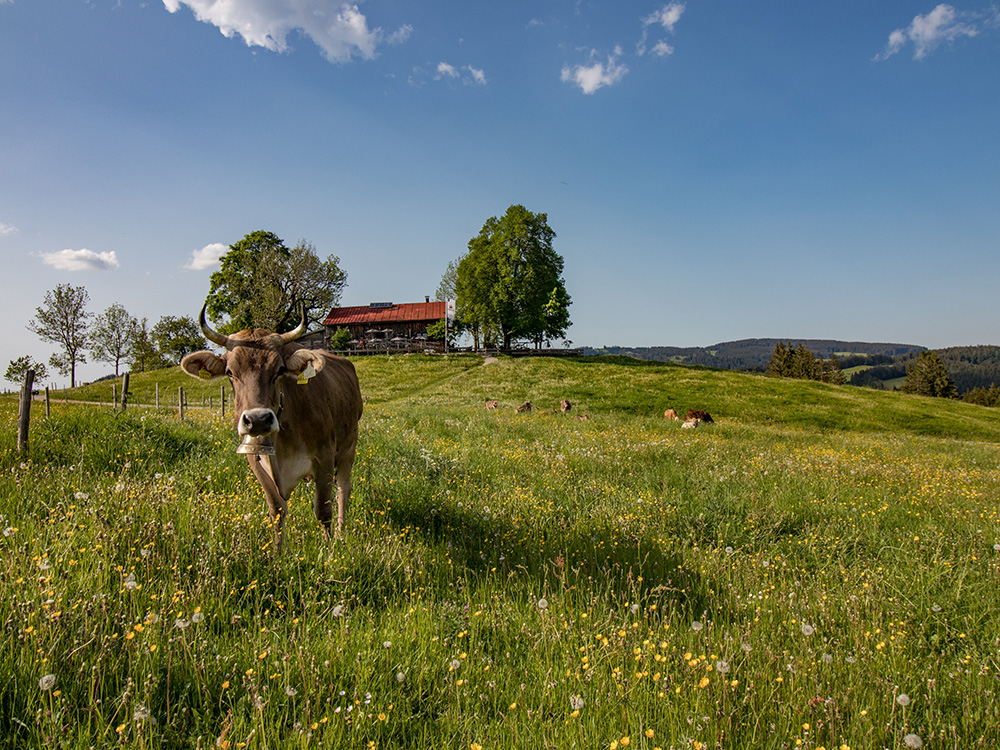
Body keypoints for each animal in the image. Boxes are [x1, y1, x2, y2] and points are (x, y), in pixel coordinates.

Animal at [181, 302, 364, 556]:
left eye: (279, 370)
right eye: (230, 372)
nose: (258, 419)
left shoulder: (324, 458)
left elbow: (323, 511)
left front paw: (328, 551)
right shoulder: (255, 460)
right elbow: (277, 510)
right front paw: (279, 554)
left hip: (349, 445)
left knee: (343, 490)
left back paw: (340, 531)